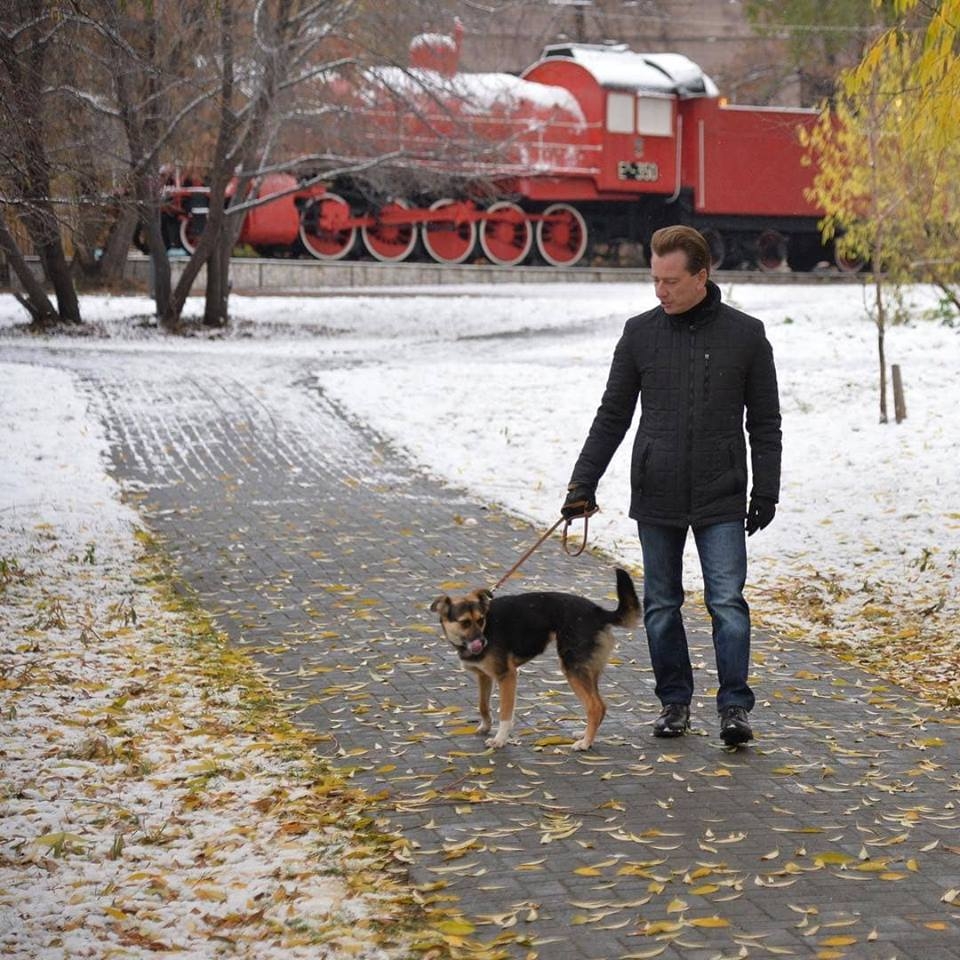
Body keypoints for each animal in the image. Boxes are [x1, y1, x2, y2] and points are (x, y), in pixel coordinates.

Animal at [428, 568, 636, 752]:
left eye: (480, 620)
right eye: (465, 623)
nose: (482, 642)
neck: (487, 628)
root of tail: (597, 611)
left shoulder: (507, 676)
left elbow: (505, 712)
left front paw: (500, 739)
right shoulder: (484, 676)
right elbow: (483, 705)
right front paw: (485, 726)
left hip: (572, 669)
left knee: (595, 706)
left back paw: (585, 743)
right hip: (587, 670)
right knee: (600, 705)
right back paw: (584, 735)